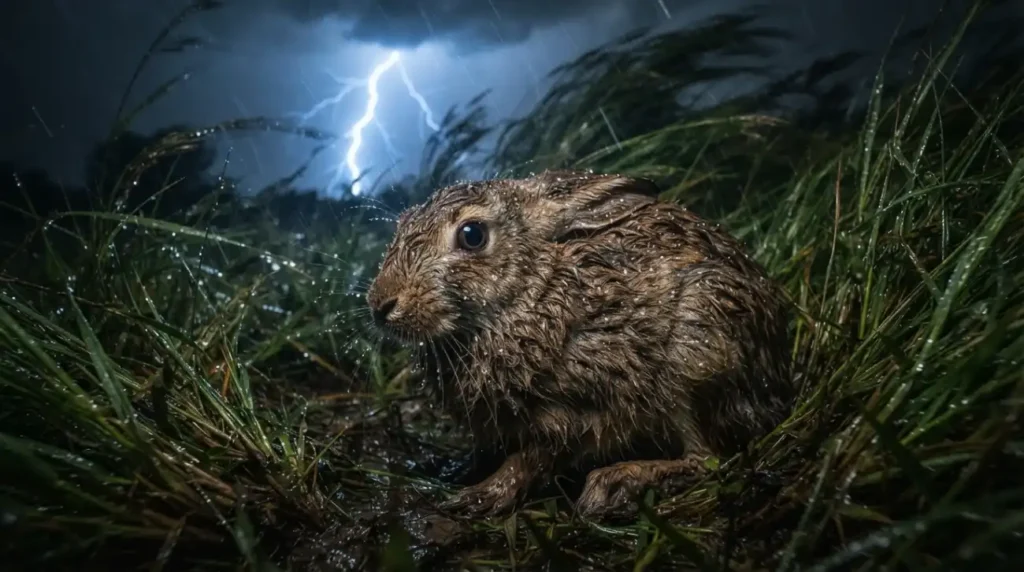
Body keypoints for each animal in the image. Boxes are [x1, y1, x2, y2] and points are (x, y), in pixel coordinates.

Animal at [365, 169, 795, 518]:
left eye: (472, 236)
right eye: (403, 224)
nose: (381, 304)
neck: (530, 291)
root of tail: (779, 381)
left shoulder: (576, 411)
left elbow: (532, 458)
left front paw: (480, 495)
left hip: (696, 354)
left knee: (708, 457)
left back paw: (615, 483)